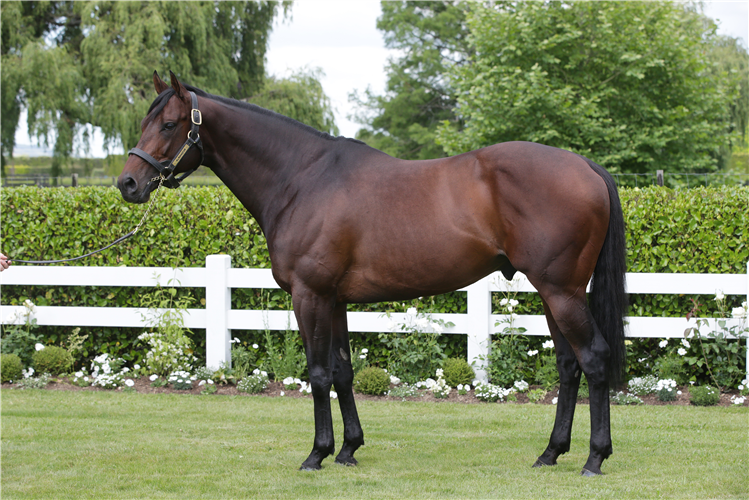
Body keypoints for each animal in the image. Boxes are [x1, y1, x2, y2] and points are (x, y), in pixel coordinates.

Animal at [120, 71, 628, 476]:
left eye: (169, 124)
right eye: (143, 122)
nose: (128, 183)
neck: (301, 178)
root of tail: (585, 166)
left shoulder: (309, 295)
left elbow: (318, 373)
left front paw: (316, 454)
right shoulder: (335, 299)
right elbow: (343, 372)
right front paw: (348, 449)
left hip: (561, 291)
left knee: (594, 359)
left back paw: (594, 458)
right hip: (553, 294)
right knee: (569, 366)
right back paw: (551, 453)